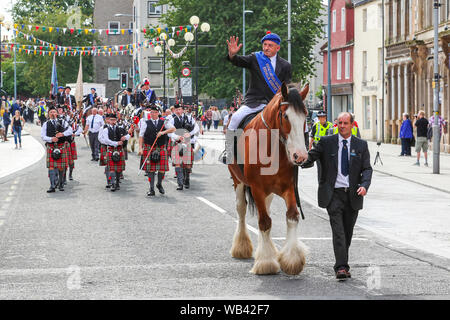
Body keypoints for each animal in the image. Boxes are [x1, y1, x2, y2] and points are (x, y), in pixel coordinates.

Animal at [229, 82, 310, 276]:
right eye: (286, 116)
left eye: (305, 115)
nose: (300, 156)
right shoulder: (257, 188)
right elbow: (264, 222)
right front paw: (266, 263)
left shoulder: (289, 187)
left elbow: (292, 216)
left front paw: (291, 260)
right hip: (238, 182)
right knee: (241, 209)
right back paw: (241, 247)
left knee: (264, 210)